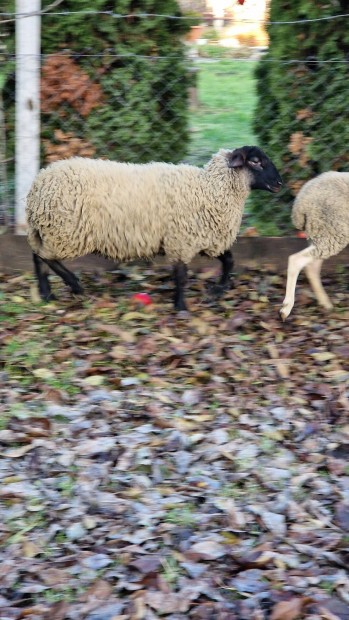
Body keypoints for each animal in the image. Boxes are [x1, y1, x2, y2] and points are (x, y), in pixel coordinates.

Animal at [25, 145, 282, 310]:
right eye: (256, 161)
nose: (280, 183)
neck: (210, 189)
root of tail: (38, 185)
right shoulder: (182, 241)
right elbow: (181, 276)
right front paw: (181, 306)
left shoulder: (207, 238)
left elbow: (229, 261)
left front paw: (217, 291)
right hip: (65, 233)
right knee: (45, 257)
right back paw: (74, 285)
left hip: (50, 231)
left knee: (38, 256)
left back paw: (47, 293)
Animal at [278, 172, 348, 322]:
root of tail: (300, 205)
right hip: (333, 231)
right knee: (296, 260)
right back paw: (286, 308)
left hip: (321, 232)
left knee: (312, 266)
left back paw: (326, 304)